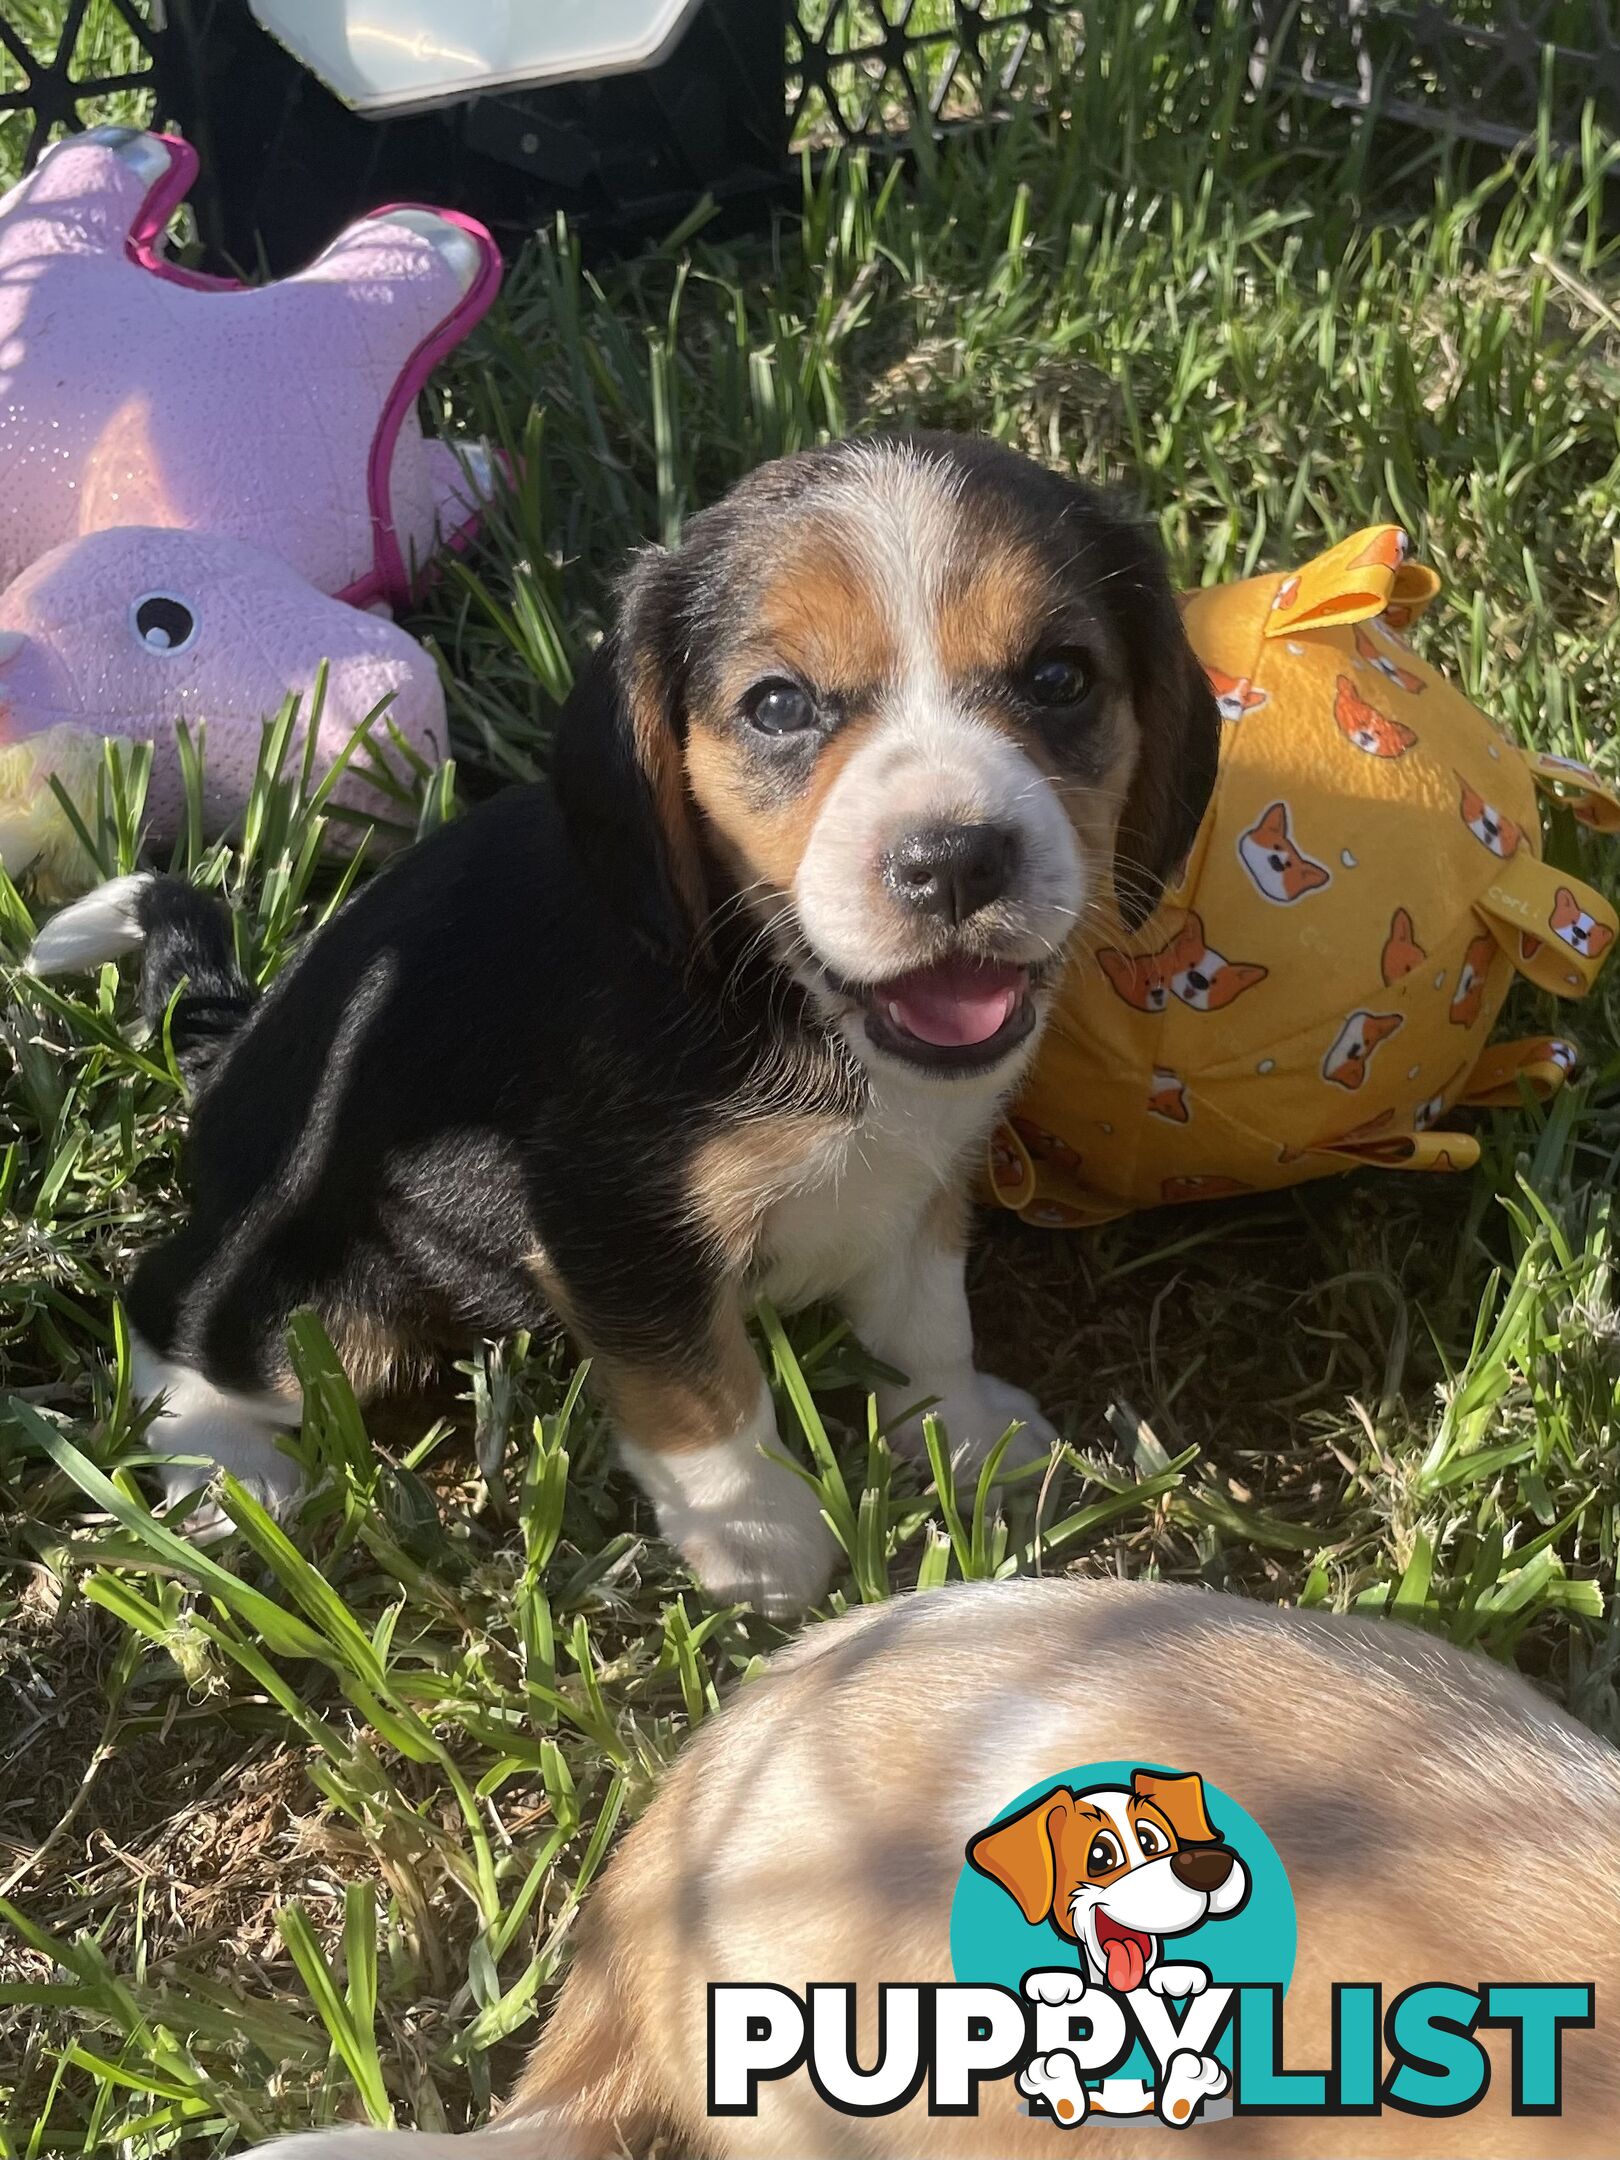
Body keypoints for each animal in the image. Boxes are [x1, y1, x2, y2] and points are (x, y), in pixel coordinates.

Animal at [28, 438, 1218, 1615]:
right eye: (779, 705)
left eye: (1059, 678)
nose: (956, 860)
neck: (778, 984)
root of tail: (230, 1049)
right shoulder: (611, 1224)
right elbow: (701, 1391)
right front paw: (762, 1537)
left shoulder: (921, 1181)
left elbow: (927, 1326)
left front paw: (964, 1436)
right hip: (329, 1302)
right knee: (172, 1311)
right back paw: (222, 1469)